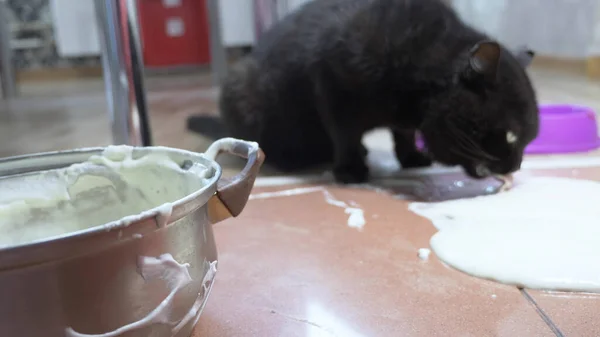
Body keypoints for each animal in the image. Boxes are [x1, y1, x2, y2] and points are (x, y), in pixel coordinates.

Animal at [214, 0, 540, 182]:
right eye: (512, 135)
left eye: (530, 140)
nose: (516, 167)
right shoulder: (333, 86)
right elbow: (344, 134)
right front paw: (350, 170)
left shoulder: (405, 118)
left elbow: (404, 133)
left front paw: (411, 157)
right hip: (241, 88)